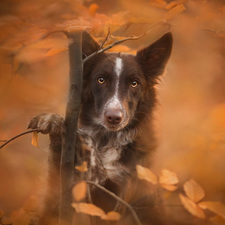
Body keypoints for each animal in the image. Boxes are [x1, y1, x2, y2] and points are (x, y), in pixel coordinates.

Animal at [27, 30, 172, 225]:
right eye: (101, 80)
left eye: (134, 83)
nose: (114, 118)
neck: (107, 139)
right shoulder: (56, 201)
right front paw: (53, 121)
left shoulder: (111, 205)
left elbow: (90, 145)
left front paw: (79, 134)